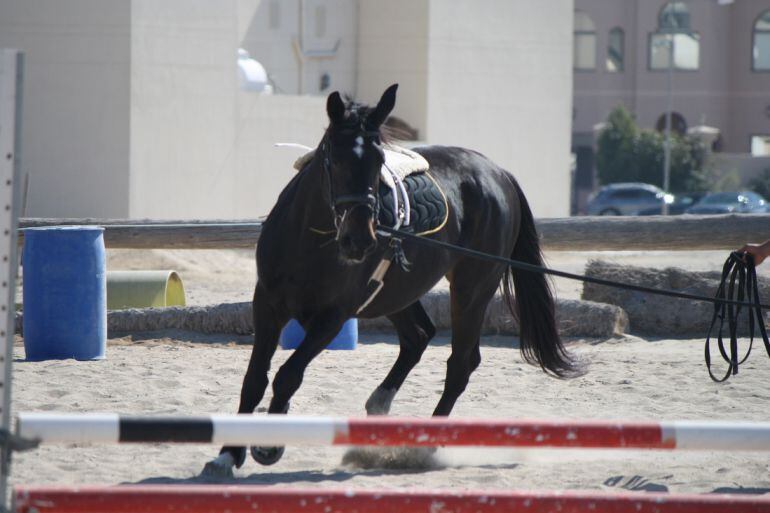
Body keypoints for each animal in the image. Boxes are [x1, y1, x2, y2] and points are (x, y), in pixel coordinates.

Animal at [204, 85, 576, 476]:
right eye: (334, 158)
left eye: (377, 161)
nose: (359, 240)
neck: (309, 240)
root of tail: (499, 173)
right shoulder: (267, 304)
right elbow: (254, 380)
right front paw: (228, 454)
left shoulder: (332, 317)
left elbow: (288, 374)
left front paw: (267, 445)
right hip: (398, 293)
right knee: (418, 336)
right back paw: (379, 406)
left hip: (471, 289)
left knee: (460, 362)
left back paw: (422, 448)